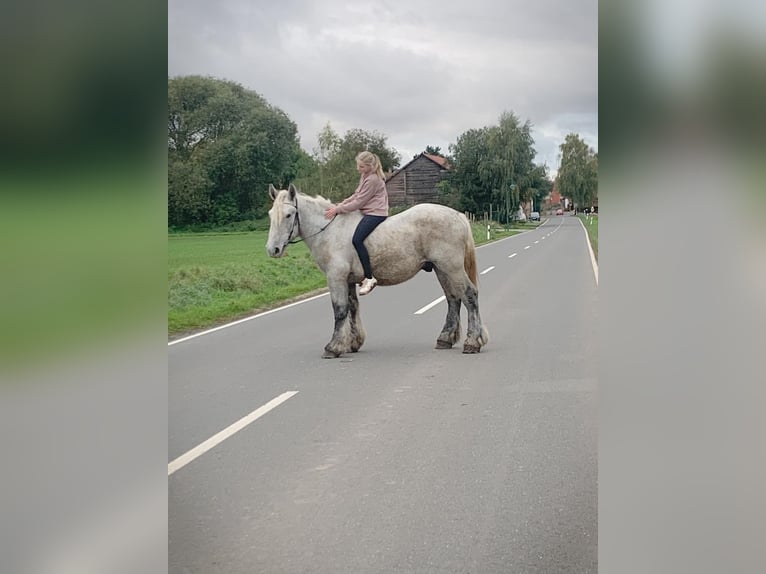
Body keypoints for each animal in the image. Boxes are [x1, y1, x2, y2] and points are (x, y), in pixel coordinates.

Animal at [268, 183, 488, 360]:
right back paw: (445, 339)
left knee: (469, 296)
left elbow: (340, 310)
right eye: (271, 214)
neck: (330, 231)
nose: (273, 250)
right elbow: (352, 308)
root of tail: (458, 215)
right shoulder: (348, 280)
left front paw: (333, 347)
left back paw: (472, 342)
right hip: (442, 269)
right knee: (453, 299)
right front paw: (352, 343)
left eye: (288, 215)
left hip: (452, 268)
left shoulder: (336, 278)